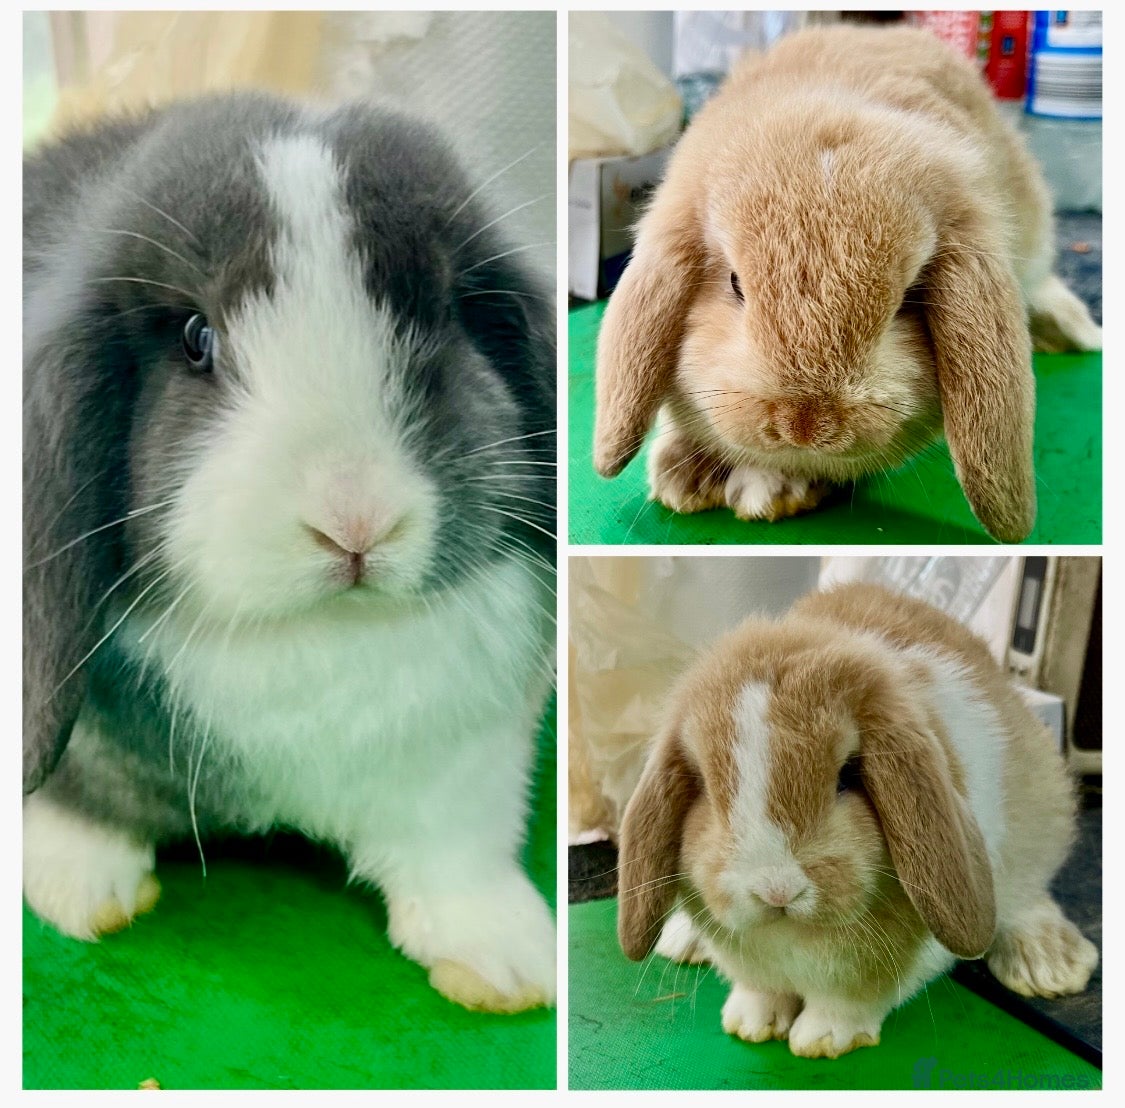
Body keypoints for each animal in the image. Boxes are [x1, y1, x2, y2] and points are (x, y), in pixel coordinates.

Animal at [23, 91, 557, 1014]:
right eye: (196, 339)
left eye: (438, 314)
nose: (354, 520)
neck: (321, 637)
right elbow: (76, 802)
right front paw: (79, 888)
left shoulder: (470, 768)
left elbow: (457, 859)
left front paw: (508, 963)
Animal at [617, 582, 1097, 1058]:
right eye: (703, 783)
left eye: (849, 774)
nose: (777, 890)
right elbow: (759, 990)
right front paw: (751, 1024)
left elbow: (850, 1002)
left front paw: (822, 1040)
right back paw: (681, 941)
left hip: (1042, 817)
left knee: (1028, 894)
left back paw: (1049, 965)